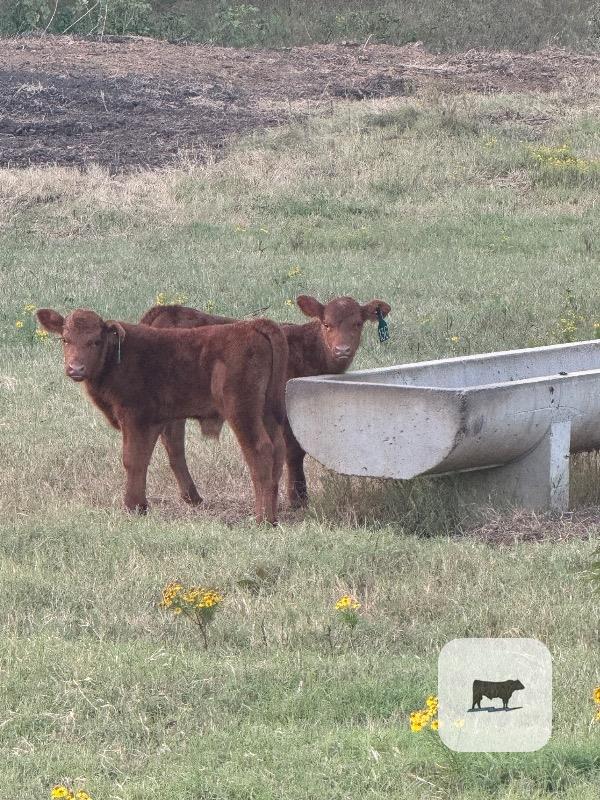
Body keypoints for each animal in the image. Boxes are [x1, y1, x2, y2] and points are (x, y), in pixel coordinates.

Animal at [36, 308, 288, 524]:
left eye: (95, 341)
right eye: (65, 339)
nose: (75, 368)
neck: (119, 356)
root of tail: (252, 325)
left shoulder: (135, 417)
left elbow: (133, 459)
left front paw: (132, 506)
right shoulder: (156, 421)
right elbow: (151, 456)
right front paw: (141, 505)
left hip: (242, 411)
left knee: (260, 450)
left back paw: (262, 519)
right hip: (267, 413)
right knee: (278, 449)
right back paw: (273, 514)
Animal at [140, 295, 392, 508]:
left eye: (357, 323)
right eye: (327, 324)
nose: (342, 350)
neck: (311, 350)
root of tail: (166, 310)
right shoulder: (287, 407)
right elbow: (294, 451)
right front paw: (298, 498)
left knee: (172, 439)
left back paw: (191, 496)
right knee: (171, 439)